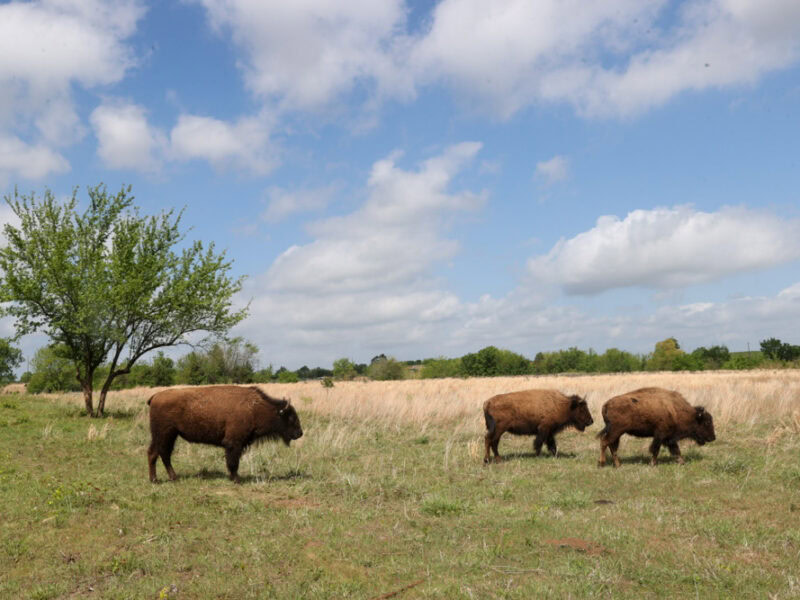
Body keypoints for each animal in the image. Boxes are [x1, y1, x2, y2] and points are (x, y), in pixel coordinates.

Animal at [147, 385, 303, 483]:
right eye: (291, 417)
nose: (300, 433)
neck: (255, 408)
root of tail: (155, 396)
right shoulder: (234, 443)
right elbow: (233, 462)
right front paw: (237, 479)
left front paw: (234, 478)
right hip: (165, 434)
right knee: (163, 454)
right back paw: (168, 478)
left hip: (164, 436)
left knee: (154, 453)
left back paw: (157, 479)